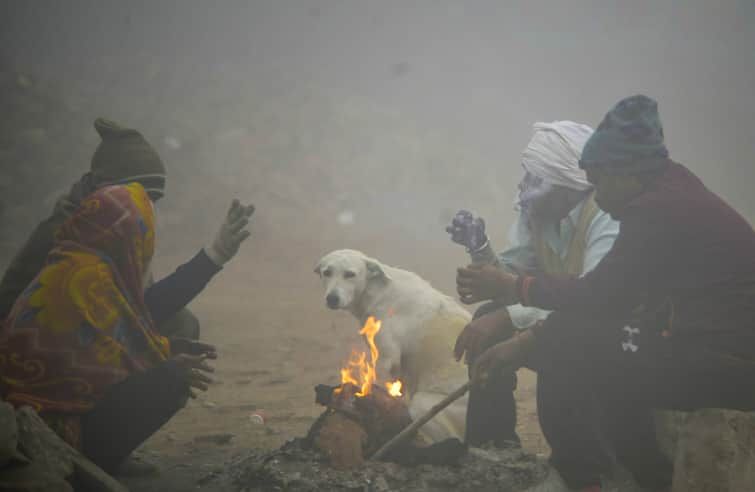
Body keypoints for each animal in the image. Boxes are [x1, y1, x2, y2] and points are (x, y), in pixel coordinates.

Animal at [314, 248, 470, 444]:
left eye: (350, 274)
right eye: (327, 272)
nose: (332, 299)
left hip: (424, 405)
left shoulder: (387, 358)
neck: (378, 291)